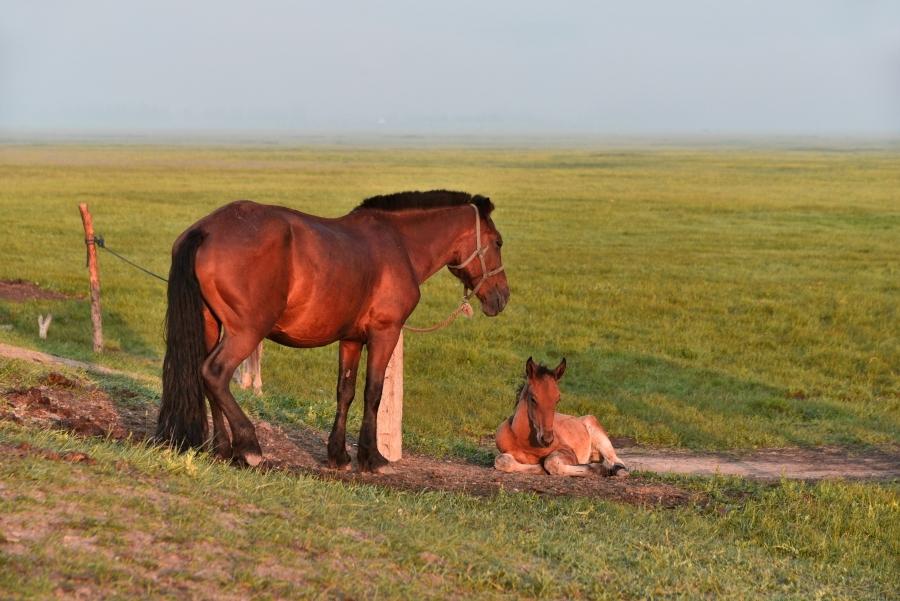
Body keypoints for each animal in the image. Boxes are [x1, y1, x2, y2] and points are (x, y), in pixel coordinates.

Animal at [157, 190, 510, 472]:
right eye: (497, 242)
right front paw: (372, 457)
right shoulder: (385, 333)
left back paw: (221, 448)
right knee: (215, 374)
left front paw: (338, 455)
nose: (501, 297)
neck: (399, 244)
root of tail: (206, 230)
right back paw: (248, 446)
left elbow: (346, 392)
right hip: (245, 333)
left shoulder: (351, 339)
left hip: (210, 326)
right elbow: (373, 392)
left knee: (205, 377)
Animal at [492, 356, 624, 478]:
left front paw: (597, 469)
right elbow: (501, 461)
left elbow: (551, 462)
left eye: (557, 399)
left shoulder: (568, 452)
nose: (547, 440)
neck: (524, 441)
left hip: (599, 435)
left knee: (616, 461)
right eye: (533, 398)